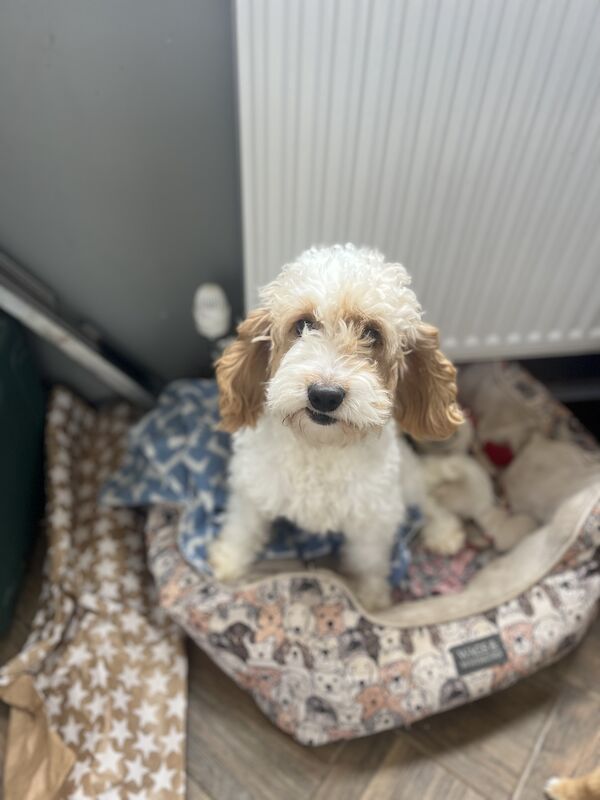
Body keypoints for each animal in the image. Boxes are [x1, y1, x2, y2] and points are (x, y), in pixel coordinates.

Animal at [209, 244, 462, 608]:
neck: (320, 447)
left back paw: (444, 530)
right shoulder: (254, 490)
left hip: (407, 479)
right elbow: (243, 528)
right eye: (303, 324)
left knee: (427, 501)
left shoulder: (374, 520)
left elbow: (369, 563)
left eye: (372, 333)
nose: (324, 395)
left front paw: (371, 600)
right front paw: (229, 561)